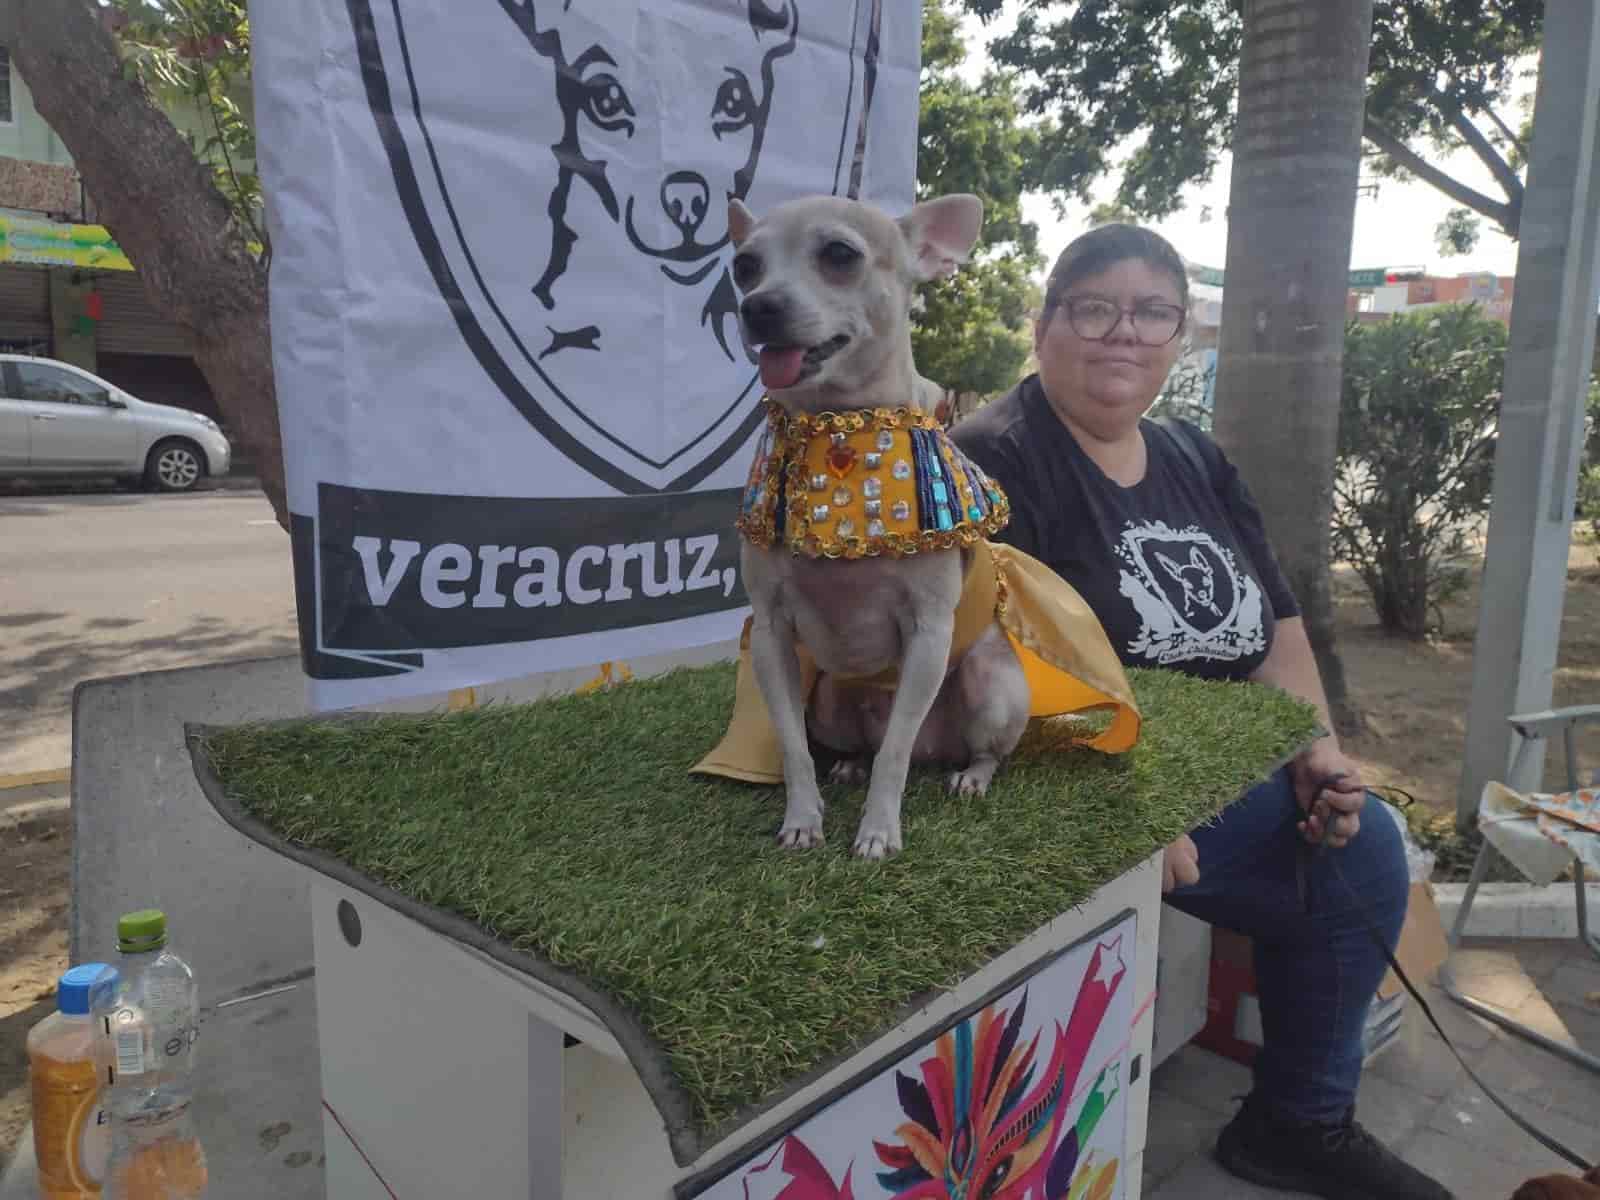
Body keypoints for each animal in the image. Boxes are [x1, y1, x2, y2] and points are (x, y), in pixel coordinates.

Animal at [729, 192, 1036, 857]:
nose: (756, 305)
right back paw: (848, 766)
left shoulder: (928, 634)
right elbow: (793, 745)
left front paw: (877, 832)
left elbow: (896, 750)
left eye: (839, 254)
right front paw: (803, 817)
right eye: (744, 267)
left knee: (960, 749)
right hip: (830, 697)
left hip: (992, 687)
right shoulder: (770, 633)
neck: (838, 429)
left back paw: (970, 776)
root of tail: (936, 752)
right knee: (865, 745)